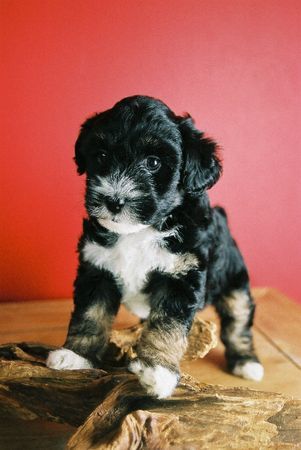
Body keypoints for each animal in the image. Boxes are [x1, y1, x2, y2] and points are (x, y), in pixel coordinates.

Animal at [46, 95, 262, 398]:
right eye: (101, 156)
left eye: (153, 162)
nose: (114, 201)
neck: (141, 231)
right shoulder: (97, 268)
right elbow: (90, 314)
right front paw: (75, 355)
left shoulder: (181, 277)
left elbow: (167, 326)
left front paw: (158, 371)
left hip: (235, 281)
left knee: (238, 320)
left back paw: (247, 362)